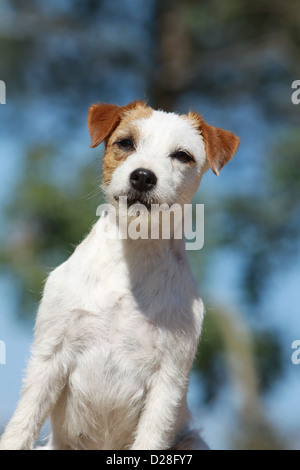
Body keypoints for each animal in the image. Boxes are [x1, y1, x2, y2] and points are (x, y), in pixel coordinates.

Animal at [0, 101, 239, 450]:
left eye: (182, 155)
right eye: (126, 143)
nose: (143, 176)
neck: (131, 258)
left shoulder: (169, 376)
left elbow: (151, 436)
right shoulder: (49, 354)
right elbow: (22, 424)